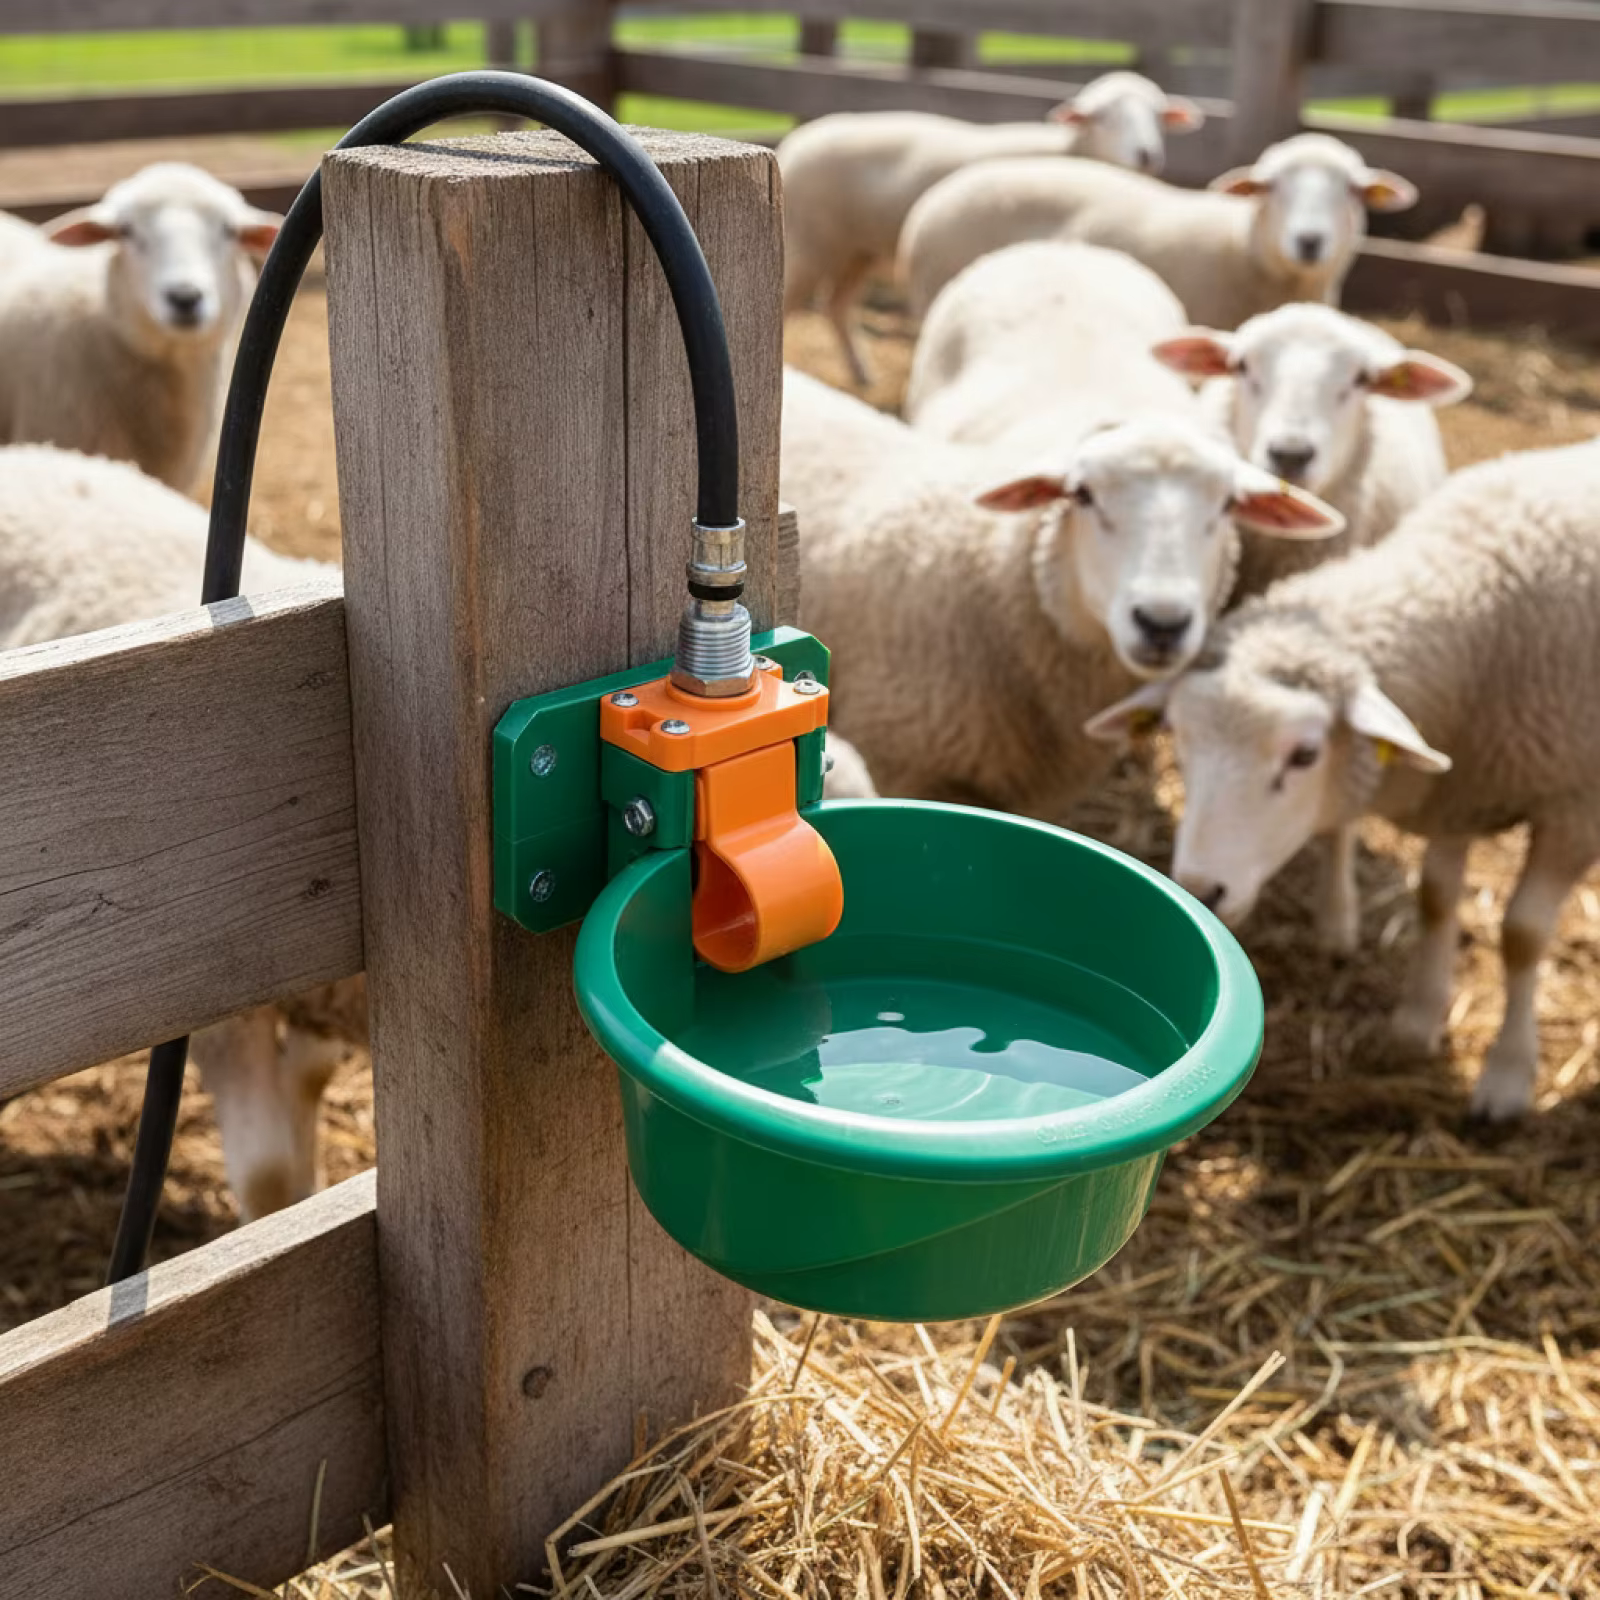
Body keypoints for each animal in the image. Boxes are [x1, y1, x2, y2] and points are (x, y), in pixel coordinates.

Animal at [778, 71, 1203, 386]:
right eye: (1102, 116)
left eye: (1158, 115)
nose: (1147, 154)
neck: (1071, 148)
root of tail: (801, 137)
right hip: (812, 243)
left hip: (856, 249)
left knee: (836, 305)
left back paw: (862, 372)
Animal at [1085, 438, 1600, 1120]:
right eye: (1181, 741)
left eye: (1305, 755)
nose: (1200, 889)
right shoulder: (1460, 789)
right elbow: (1436, 898)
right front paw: (1417, 1021)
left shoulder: (1575, 809)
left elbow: (1522, 934)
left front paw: (1508, 1076)